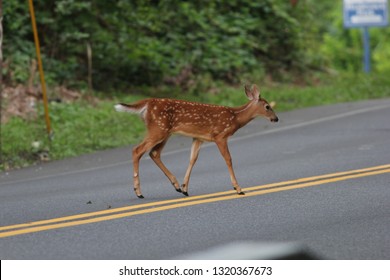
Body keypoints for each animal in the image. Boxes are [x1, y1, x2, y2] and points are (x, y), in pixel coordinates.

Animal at [114, 84, 278, 198]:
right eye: (267, 106)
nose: (276, 118)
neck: (235, 118)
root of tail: (147, 103)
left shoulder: (199, 138)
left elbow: (192, 159)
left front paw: (185, 188)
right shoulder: (220, 135)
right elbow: (228, 159)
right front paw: (238, 189)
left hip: (164, 132)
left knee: (154, 153)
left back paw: (176, 185)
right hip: (158, 129)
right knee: (137, 150)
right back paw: (138, 192)